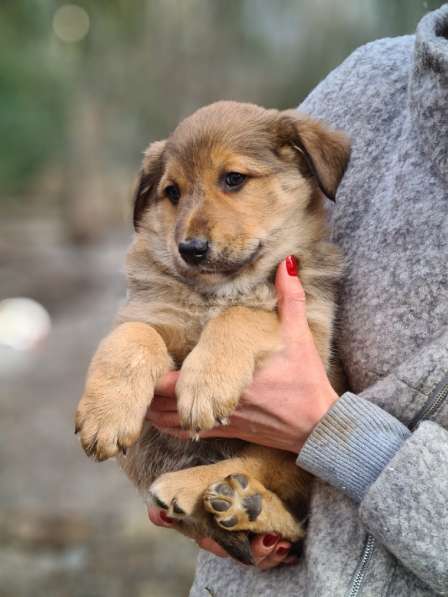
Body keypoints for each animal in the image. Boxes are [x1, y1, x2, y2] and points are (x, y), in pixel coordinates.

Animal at [75, 102, 348, 564]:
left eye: (233, 179)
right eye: (172, 192)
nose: (190, 249)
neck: (218, 291)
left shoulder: (310, 331)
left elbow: (242, 316)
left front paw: (205, 385)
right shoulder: (145, 312)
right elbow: (132, 338)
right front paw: (105, 415)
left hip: (286, 448)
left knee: (263, 477)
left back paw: (220, 496)